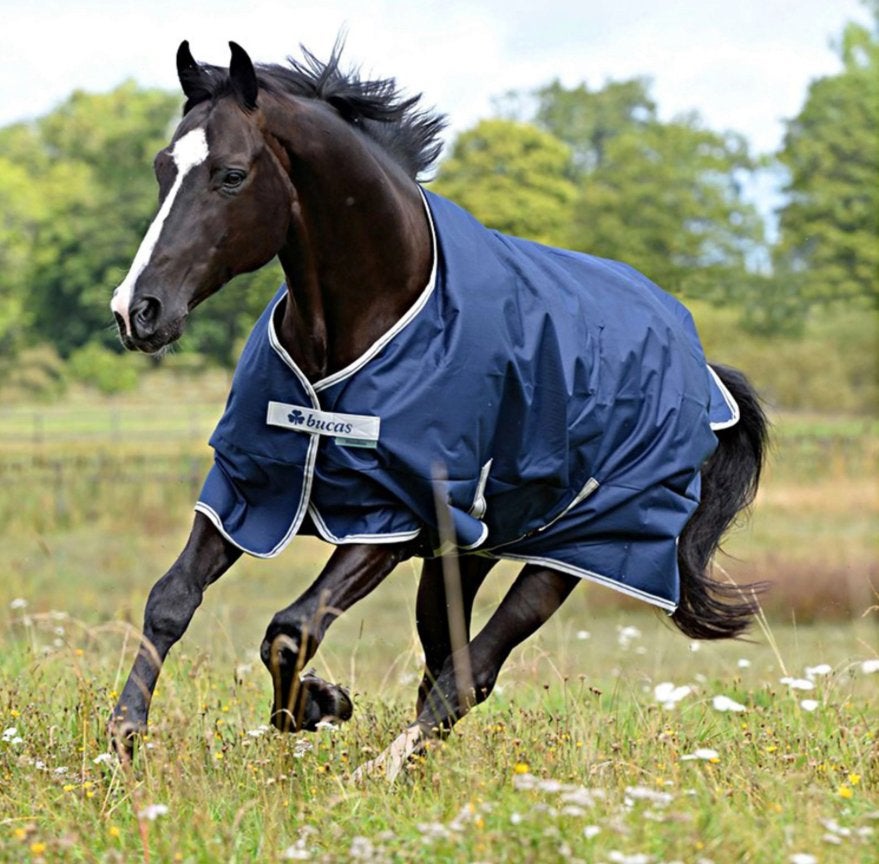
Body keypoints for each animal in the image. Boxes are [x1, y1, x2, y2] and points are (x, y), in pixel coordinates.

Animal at [108, 41, 768, 779]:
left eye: (230, 174)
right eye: (163, 166)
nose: (138, 310)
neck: (369, 319)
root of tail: (701, 370)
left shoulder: (392, 518)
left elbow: (291, 629)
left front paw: (320, 704)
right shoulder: (250, 485)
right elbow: (171, 599)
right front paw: (123, 739)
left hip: (579, 550)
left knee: (470, 671)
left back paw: (381, 770)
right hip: (468, 552)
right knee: (445, 662)